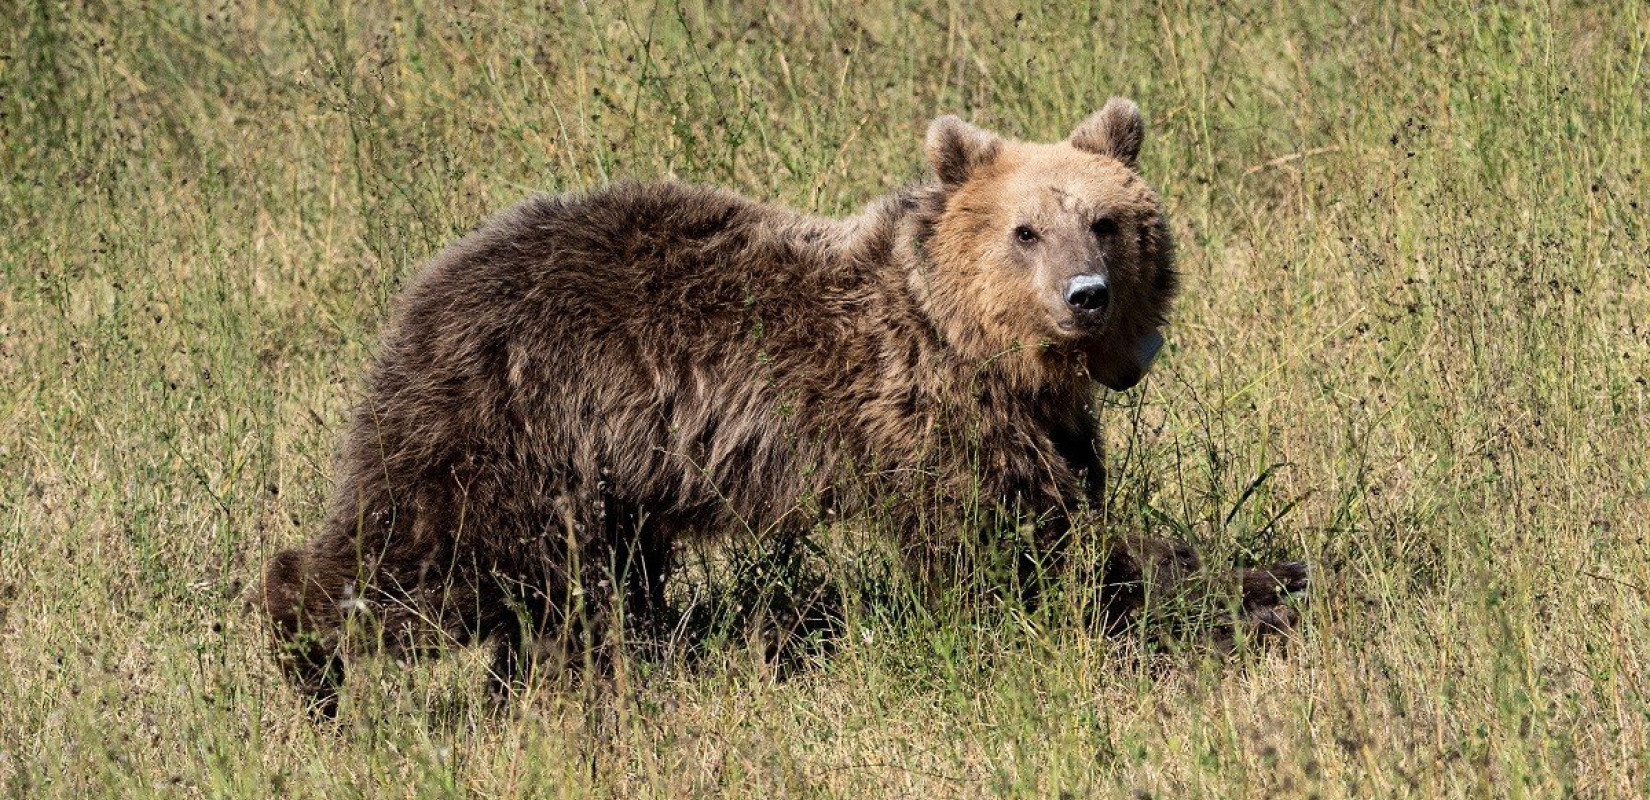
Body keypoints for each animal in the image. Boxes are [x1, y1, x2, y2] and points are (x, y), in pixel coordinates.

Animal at [264, 99, 1300, 715]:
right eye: (1025, 230)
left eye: (1108, 221)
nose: (1085, 294)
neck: (975, 344)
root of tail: (431, 282)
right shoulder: (925, 419)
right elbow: (1019, 556)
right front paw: (1249, 588)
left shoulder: (1045, 427)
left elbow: (1066, 522)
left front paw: (1263, 577)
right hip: (509, 430)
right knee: (423, 565)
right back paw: (307, 662)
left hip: (600, 478)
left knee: (574, 597)